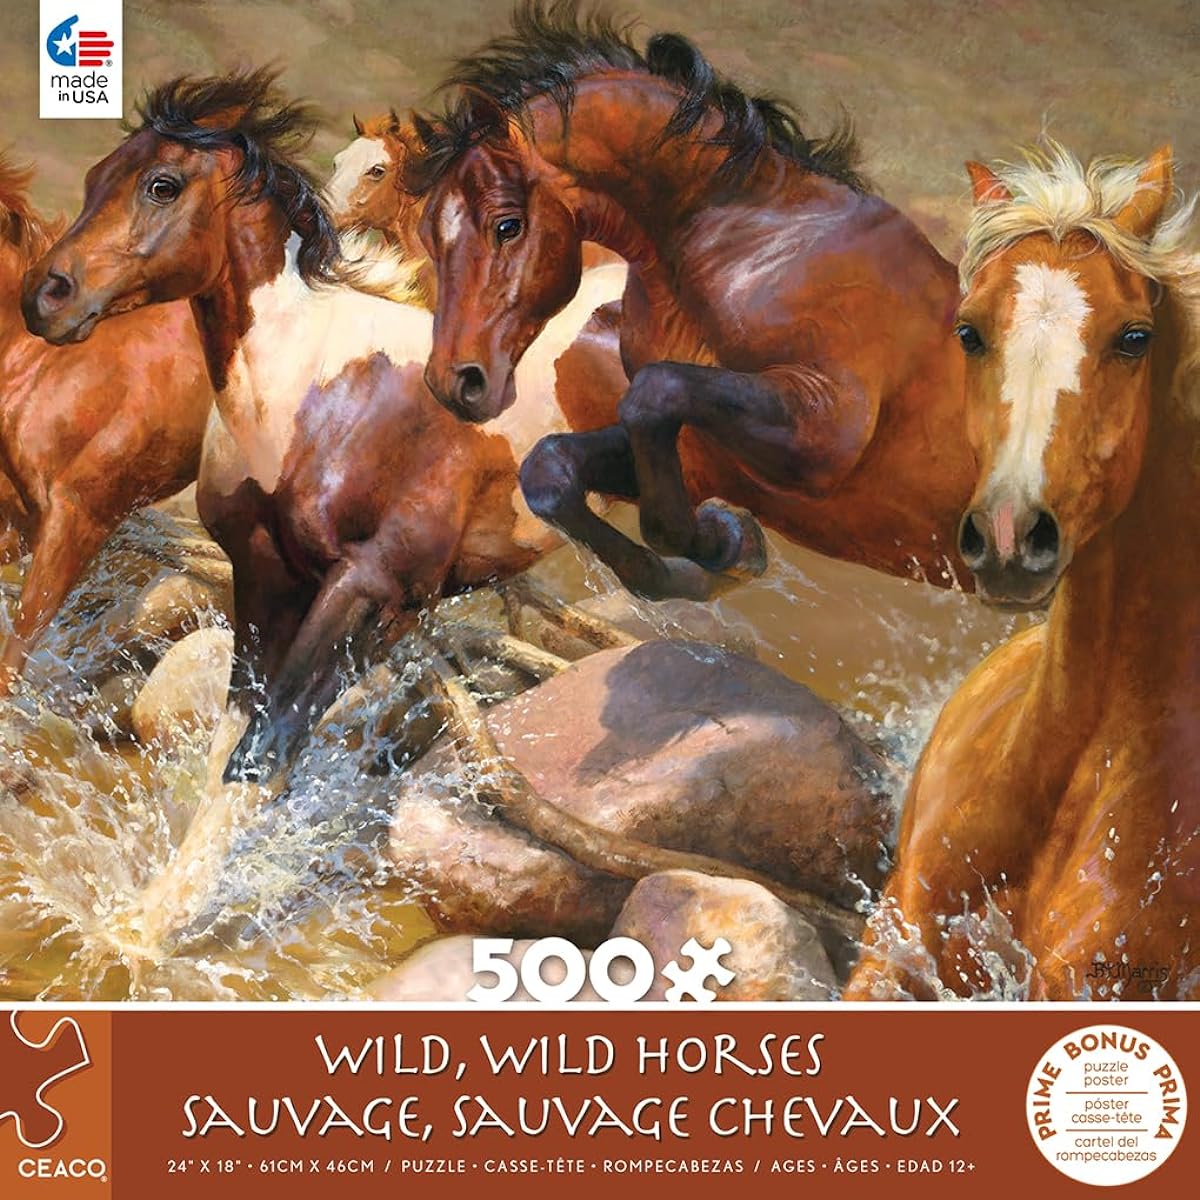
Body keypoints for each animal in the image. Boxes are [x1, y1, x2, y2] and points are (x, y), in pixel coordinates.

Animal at [404, 2, 978, 602]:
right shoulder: (703, 453)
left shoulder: (825, 433)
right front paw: (727, 546)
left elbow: (656, 394)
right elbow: (551, 468)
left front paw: (723, 541)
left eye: (507, 225)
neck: (758, 249)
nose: (454, 384)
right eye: (427, 235)